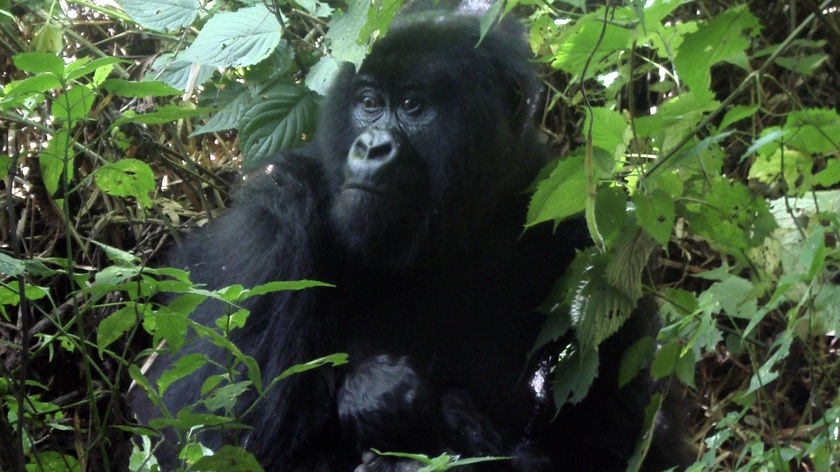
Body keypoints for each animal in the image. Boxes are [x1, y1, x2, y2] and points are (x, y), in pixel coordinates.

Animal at [130, 8, 688, 472]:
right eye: (369, 103)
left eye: (413, 105)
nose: (372, 146)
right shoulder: (273, 228)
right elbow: (218, 437)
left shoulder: (585, 245)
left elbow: (619, 433)